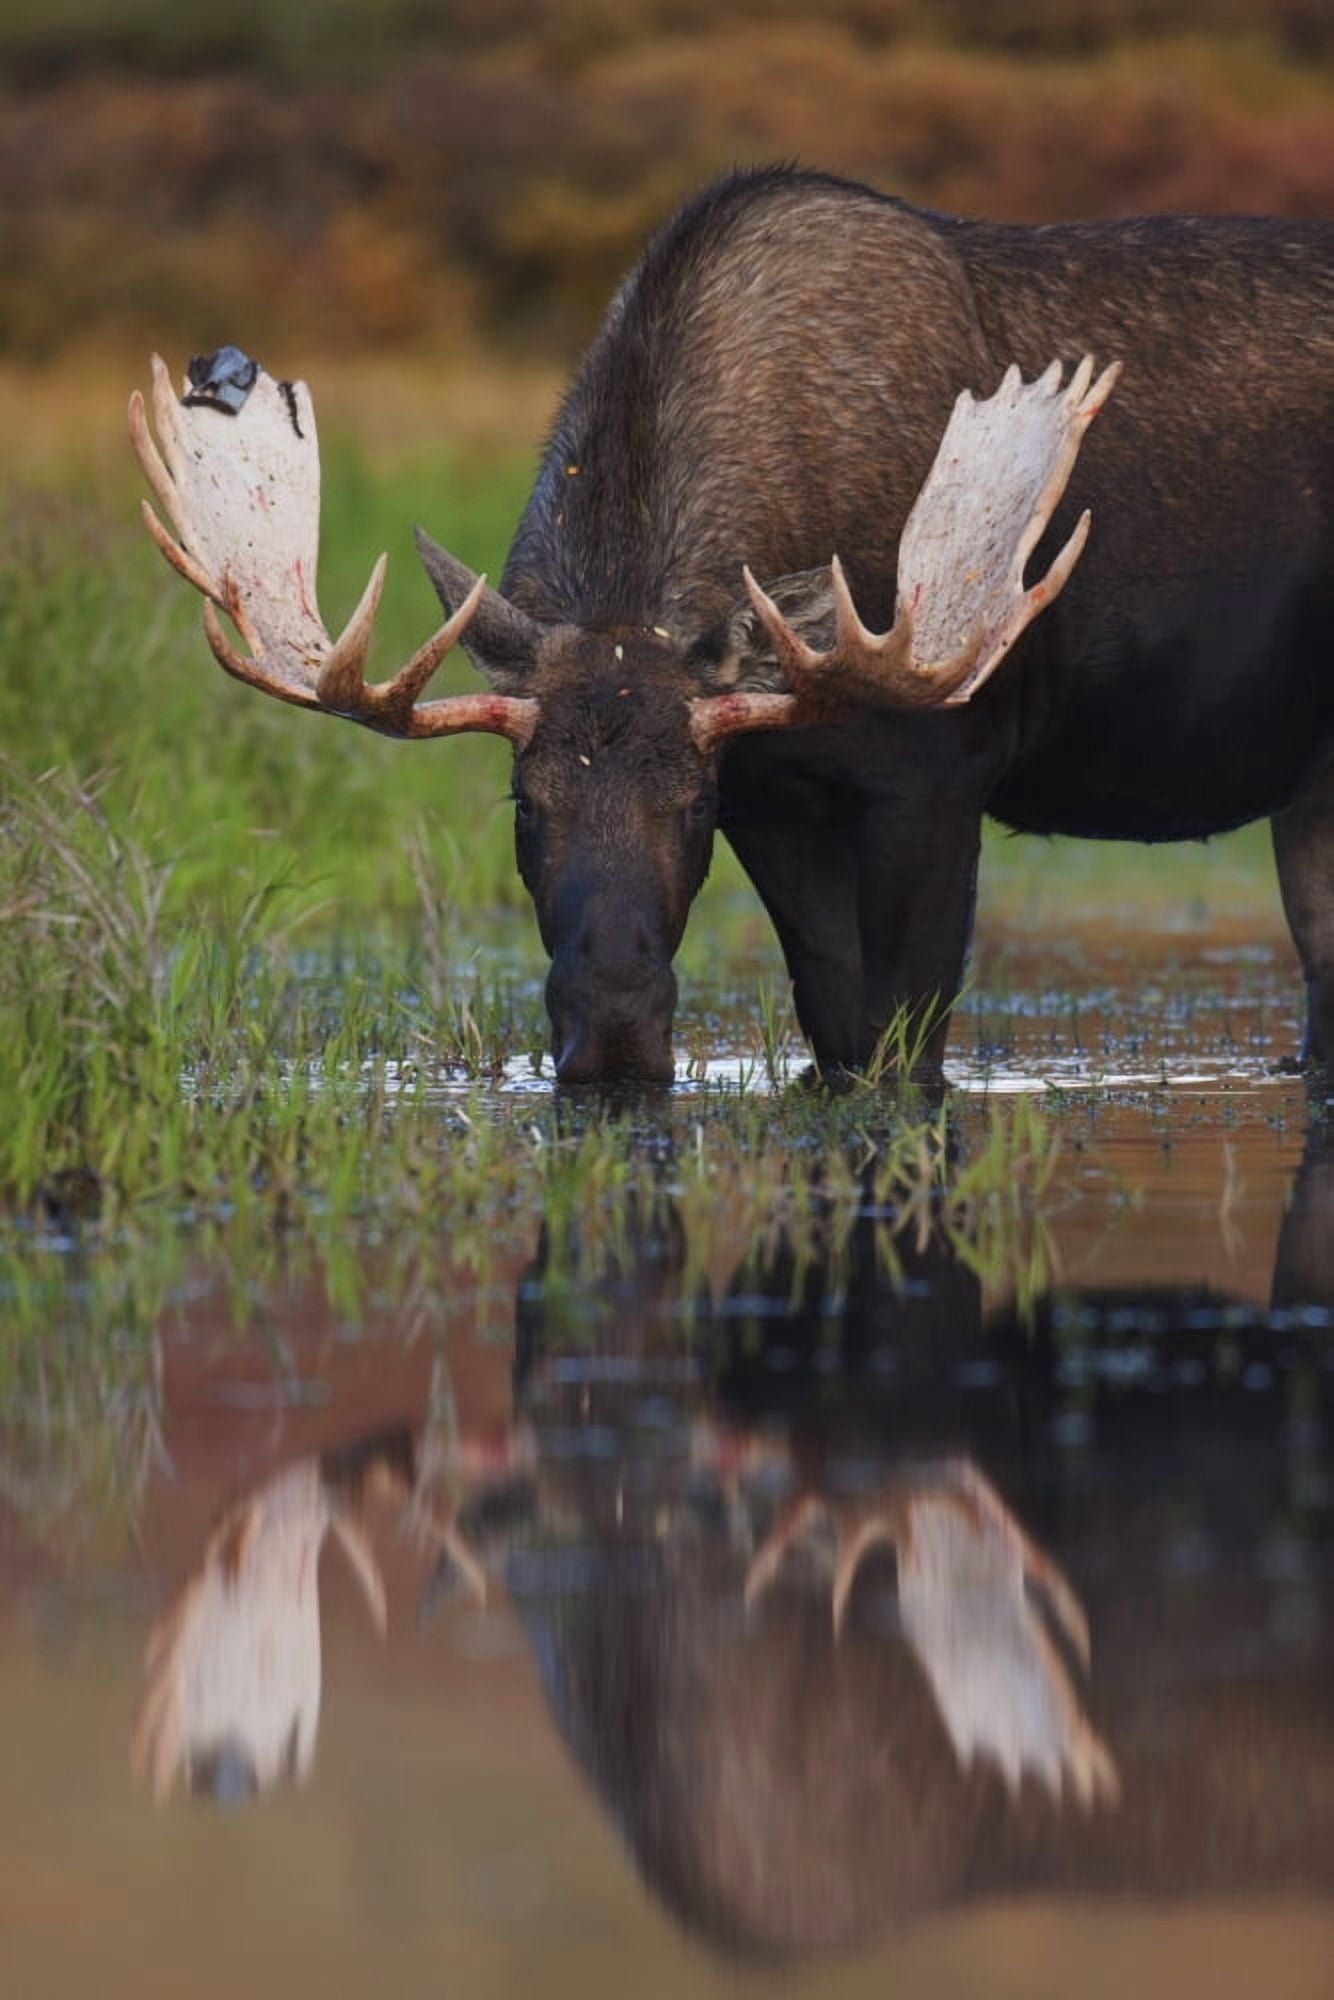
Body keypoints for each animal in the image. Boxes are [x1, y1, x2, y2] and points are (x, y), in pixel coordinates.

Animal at [130, 166, 1334, 1085]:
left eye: (690, 804)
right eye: (524, 804)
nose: (613, 1036)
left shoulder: (938, 777)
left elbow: (906, 1051)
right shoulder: (780, 797)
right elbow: (837, 1032)